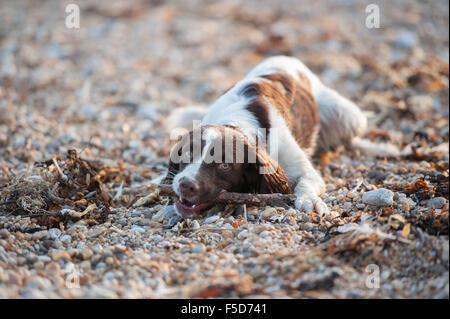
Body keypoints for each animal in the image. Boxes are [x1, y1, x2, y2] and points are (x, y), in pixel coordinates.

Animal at [162, 56, 390, 219]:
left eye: (224, 165)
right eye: (188, 153)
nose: (186, 184)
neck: (236, 121)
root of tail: (289, 58)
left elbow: (306, 182)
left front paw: (309, 200)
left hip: (351, 117)